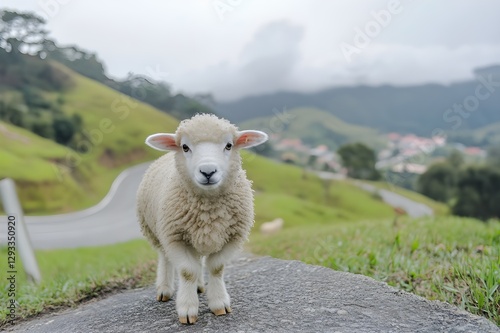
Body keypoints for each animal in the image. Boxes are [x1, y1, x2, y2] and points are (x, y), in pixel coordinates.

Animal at [137, 113, 268, 322]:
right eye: (185, 147)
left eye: (229, 145)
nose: (208, 172)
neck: (208, 208)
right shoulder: (175, 237)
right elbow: (187, 271)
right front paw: (187, 309)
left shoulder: (232, 237)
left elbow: (216, 268)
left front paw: (219, 303)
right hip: (156, 231)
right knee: (165, 258)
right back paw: (164, 289)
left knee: (198, 261)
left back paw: (199, 286)